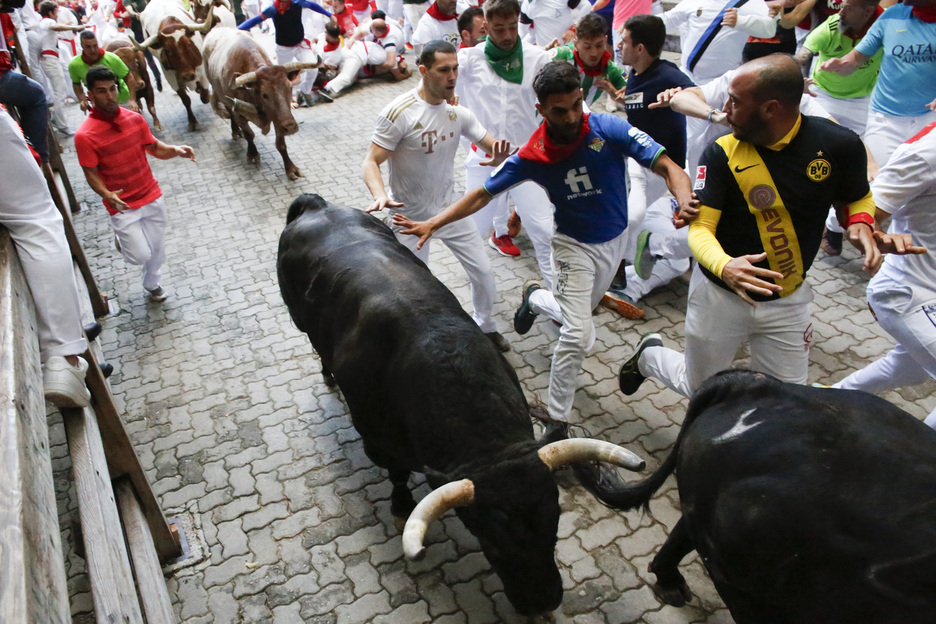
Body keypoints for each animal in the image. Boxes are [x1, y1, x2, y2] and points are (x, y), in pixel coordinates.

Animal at [136, 0, 215, 130]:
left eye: (188, 43)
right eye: (168, 50)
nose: (187, 76)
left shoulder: (201, 70)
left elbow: (204, 96)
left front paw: (204, 93)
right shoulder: (171, 77)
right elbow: (185, 99)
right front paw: (192, 121)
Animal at [203, 27, 320, 180]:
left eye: (289, 88)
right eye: (264, 94)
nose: (290, 127)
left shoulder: (279, 117)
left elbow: (281, 144)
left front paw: (291, 169)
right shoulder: (239, 113)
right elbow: (249, 134)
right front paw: (252, 154)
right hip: (222, 96)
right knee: (230, 114)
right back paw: (236, 131)